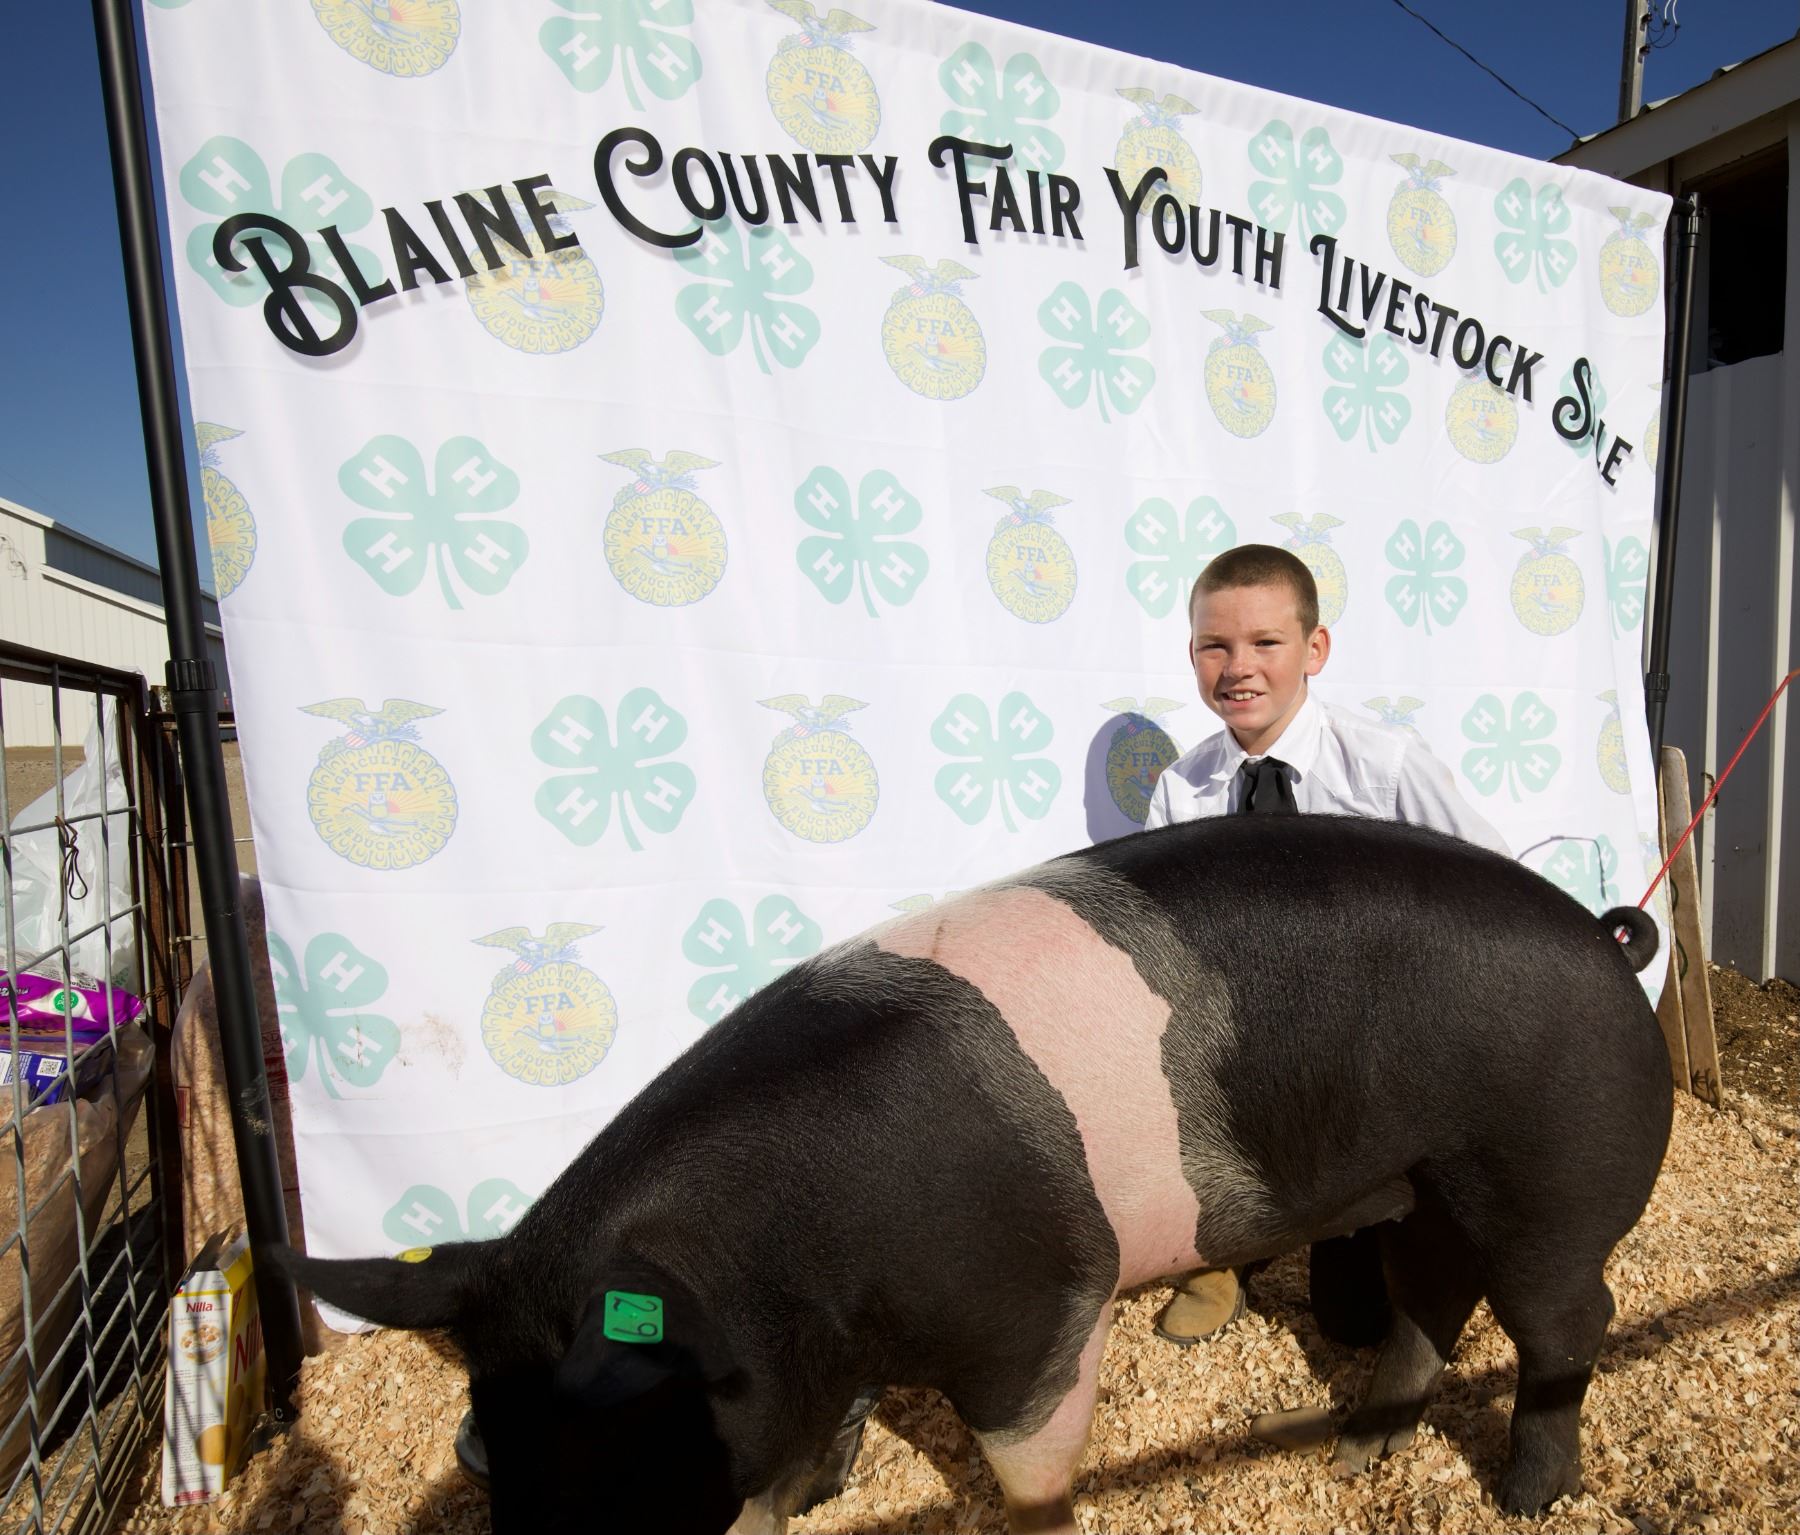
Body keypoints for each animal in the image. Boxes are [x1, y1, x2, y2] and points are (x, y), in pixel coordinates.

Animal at [270, 814, 1671, 1534]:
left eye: (637, 1445)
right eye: (489, 1456)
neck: (792, 1263)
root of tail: (1605, 939)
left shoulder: (1036, 1311)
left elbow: (1030, 1475)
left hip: (1550, 1178)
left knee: (1568, 1321)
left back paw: (1530, 1500)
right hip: (1420, 1188)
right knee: (1433, 1299)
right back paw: (1352, 1461)